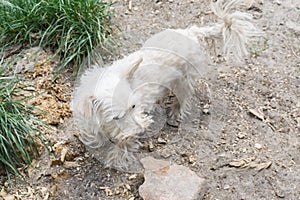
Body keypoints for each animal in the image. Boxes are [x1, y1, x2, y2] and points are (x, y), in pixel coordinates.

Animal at [71, 0, 262, 172]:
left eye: (133, 106)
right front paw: (96, 141)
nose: (143, 129)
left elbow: (123, 144)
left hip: (184, 80)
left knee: (184, 98)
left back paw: (175, 112)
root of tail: (193, 32)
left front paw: (116, 159)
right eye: (116, 117)